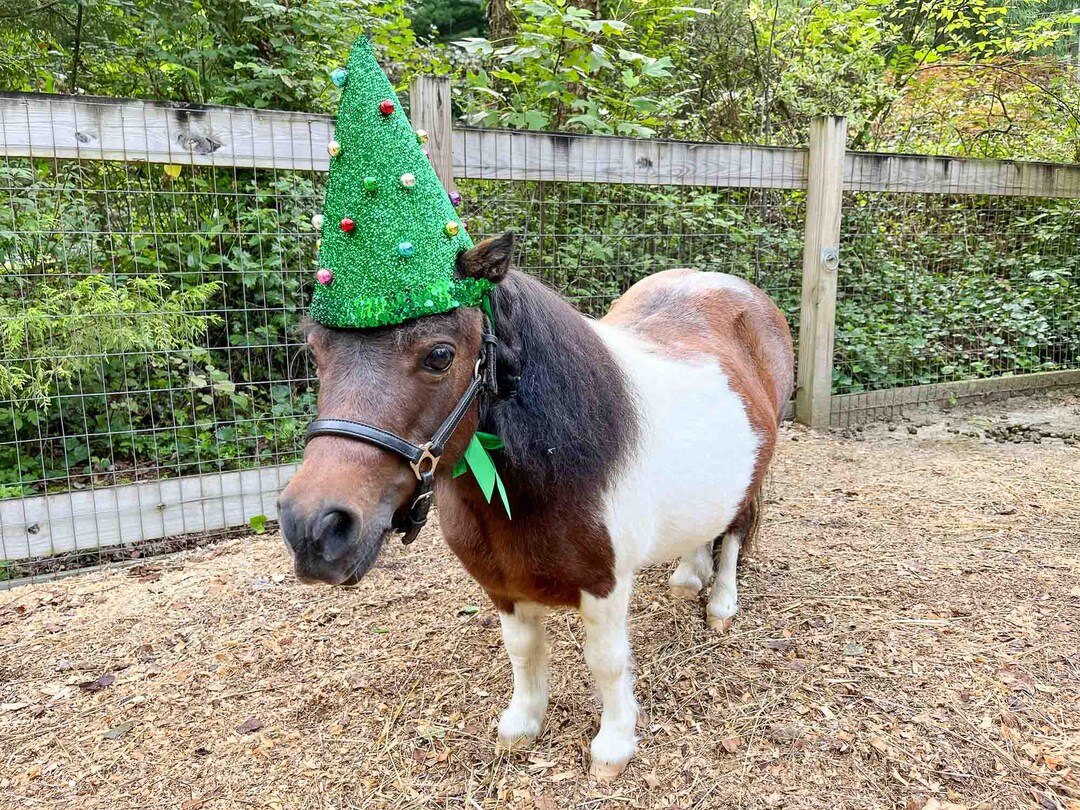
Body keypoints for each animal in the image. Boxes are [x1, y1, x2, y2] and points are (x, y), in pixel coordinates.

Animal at [278, 232, 794, 779]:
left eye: (439, 354)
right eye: (316, 352)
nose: (313, 527)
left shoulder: (605, 586)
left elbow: (606, 662)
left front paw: (614, 746)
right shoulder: (501, 585)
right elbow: (523, 652)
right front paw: (523, 724)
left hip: (754, 472)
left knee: (735, 533)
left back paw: (720, 605)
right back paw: (687, 578)